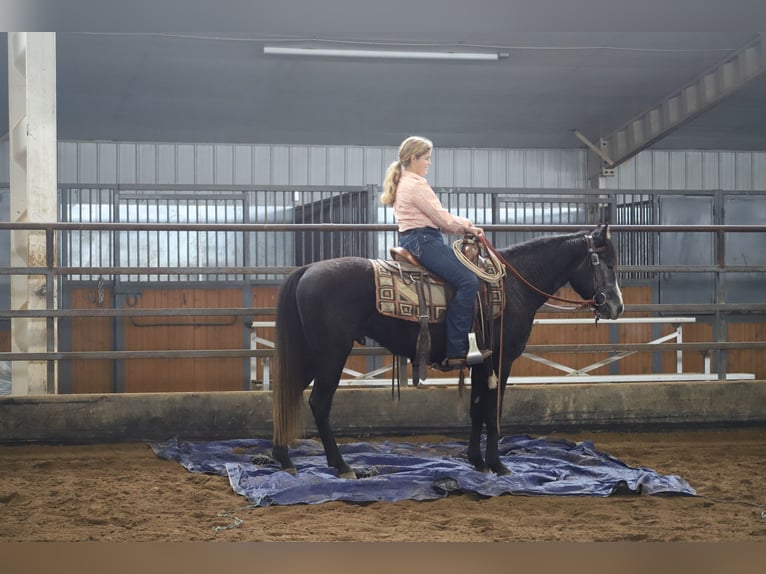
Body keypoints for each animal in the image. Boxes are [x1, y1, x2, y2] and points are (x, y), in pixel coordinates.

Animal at [272, 224, 628, 476]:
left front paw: (476, 462)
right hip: (331, 354)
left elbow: (476, 410)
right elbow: (493, 412)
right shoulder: (502, 361)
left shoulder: (480, 363)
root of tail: (307, 270)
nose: (616, 306)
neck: (513, 287)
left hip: (311, 354)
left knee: (289, 393)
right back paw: (342, 466)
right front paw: (498, 465)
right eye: (608, 264)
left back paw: (284, 459)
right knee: (319, 403)